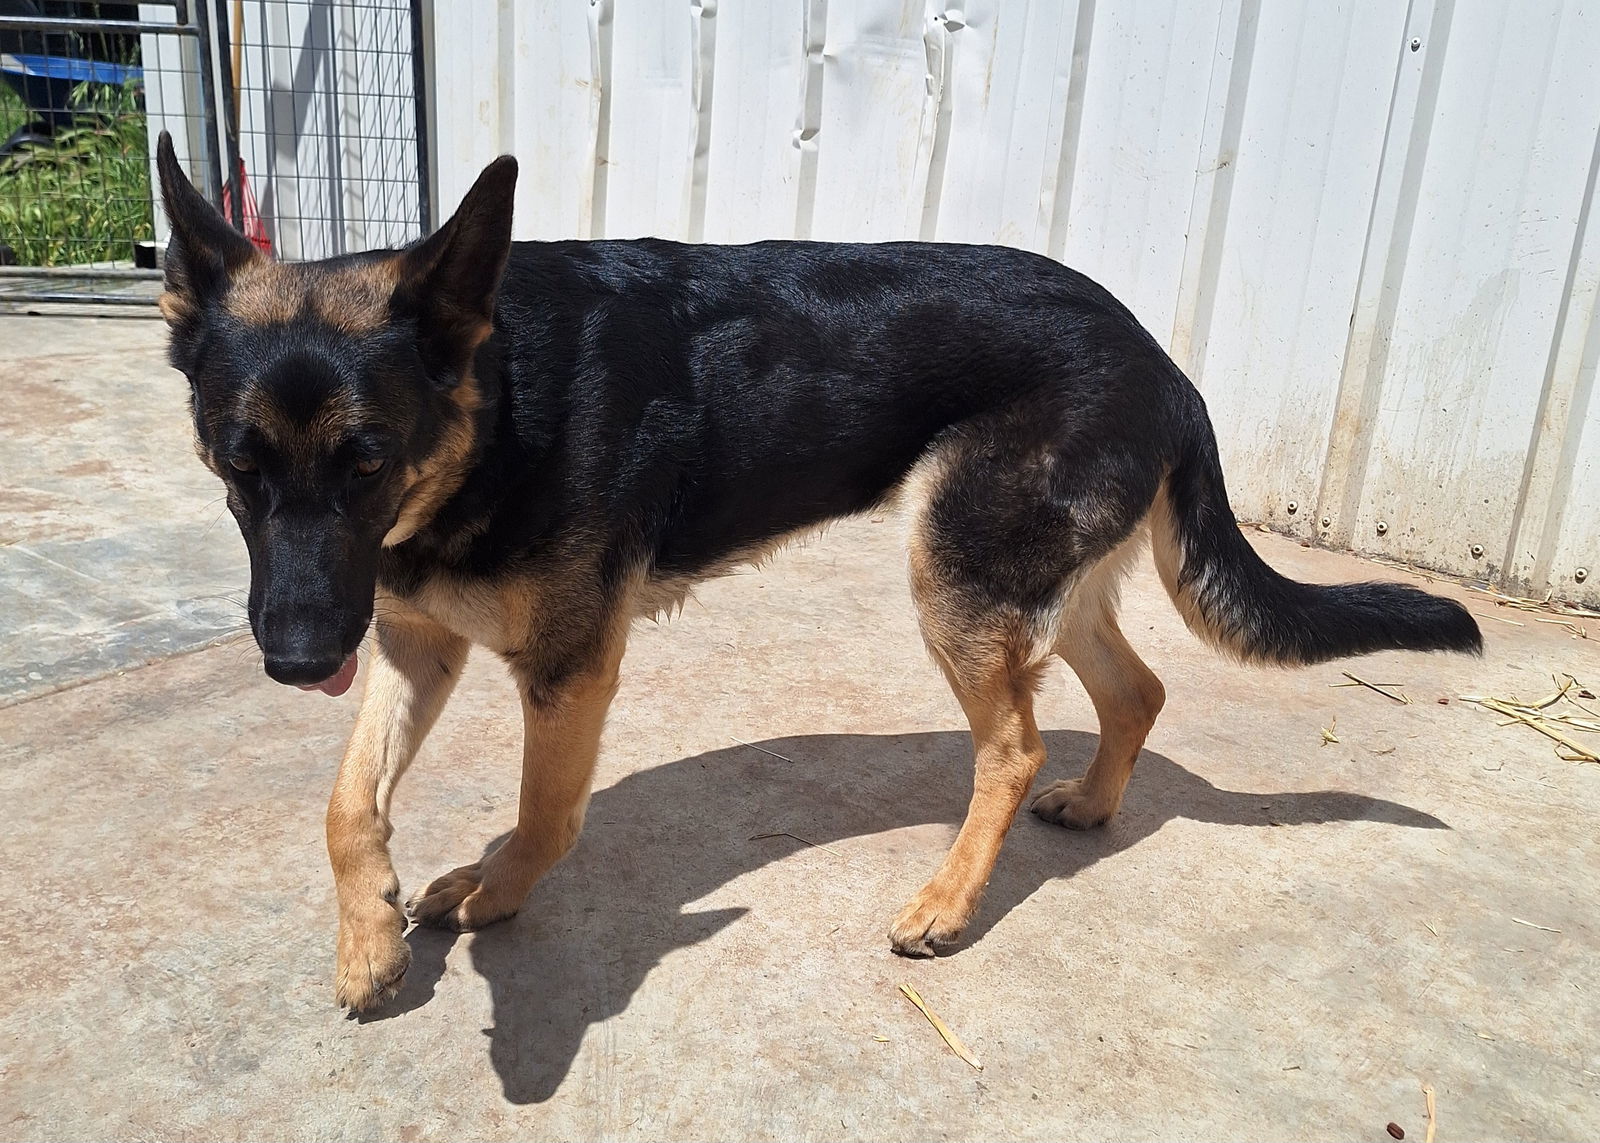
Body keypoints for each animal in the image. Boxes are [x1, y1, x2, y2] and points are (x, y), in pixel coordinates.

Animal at [156, 131, 1478, 1005]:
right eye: (235, 462)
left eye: (368, 460)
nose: (294, 662)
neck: (494, 407)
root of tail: (1162, 357)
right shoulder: (409, 639)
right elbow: (345, 804)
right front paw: (370, 940)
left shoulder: (568, 671)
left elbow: (543, 817)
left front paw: (491, 895)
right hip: (1031, 578)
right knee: (1134, 691)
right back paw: (1096, 806)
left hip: (956, 577)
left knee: (1012, 743)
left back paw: (948, 904)